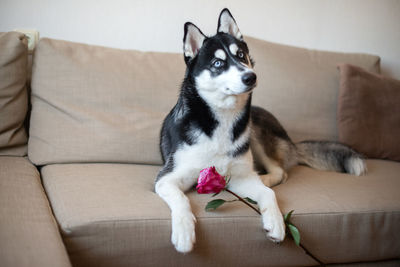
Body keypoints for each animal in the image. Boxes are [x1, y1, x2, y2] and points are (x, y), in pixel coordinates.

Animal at [155, 8, 368, 254]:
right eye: (218, 63)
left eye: (241, 55)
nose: (250, 76)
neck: (221, 119)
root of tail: (289, 140)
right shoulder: (167, 178)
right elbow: (181, 198)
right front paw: (183, 232)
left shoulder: (237, 177)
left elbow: (269, 193)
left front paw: (275, 221)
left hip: (255, 131)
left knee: (280, 172)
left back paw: (263, 178)